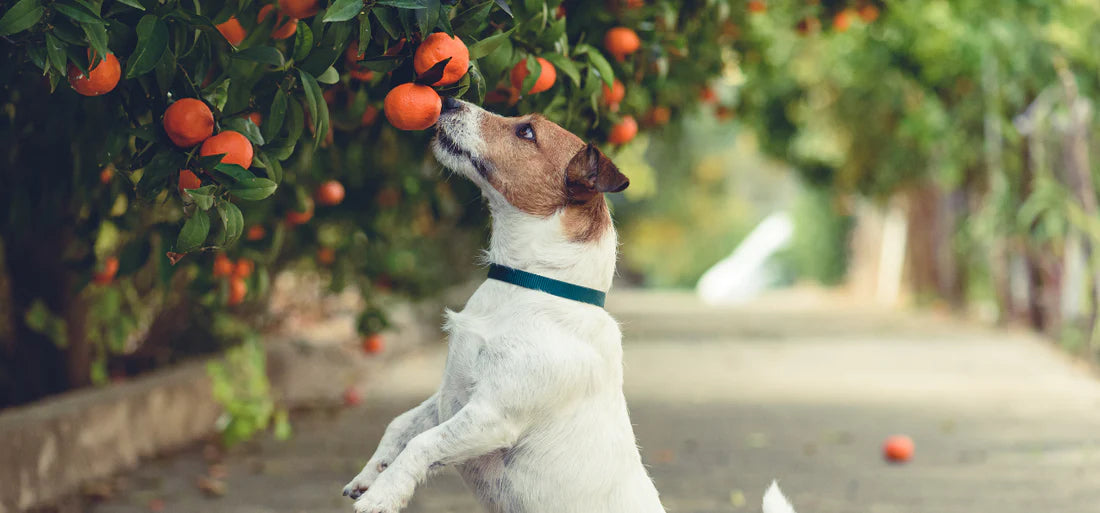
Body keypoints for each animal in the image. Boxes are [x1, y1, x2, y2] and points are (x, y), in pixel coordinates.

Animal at [338, 99, 796, 513]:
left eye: (526, 132)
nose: (448, 98)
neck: (533, 285)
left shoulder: (491, 415)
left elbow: (421, 444)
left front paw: (384, 495)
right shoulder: (447, 397)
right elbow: (401, 426)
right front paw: (370, 475)